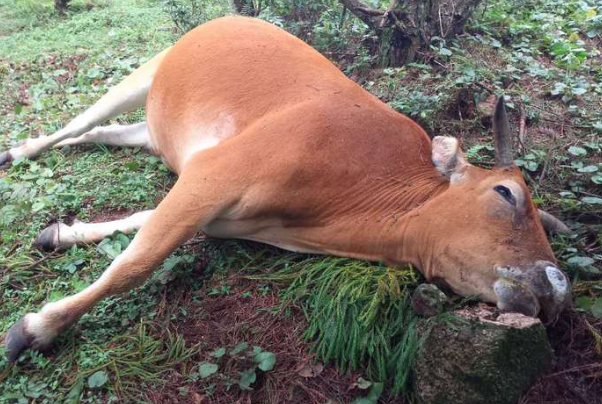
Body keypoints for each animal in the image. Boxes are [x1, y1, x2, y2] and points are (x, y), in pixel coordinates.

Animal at [0, 16, 568, 362]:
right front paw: (36, 328)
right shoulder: (216, 172)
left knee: (109, 133)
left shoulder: (216, 206)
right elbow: (135, 263)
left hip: (156, 130)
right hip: (146, 70)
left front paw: (61, 233)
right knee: (75, 124)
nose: (556, 285)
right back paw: (19, 150)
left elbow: (142, 226)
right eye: (505, 193)